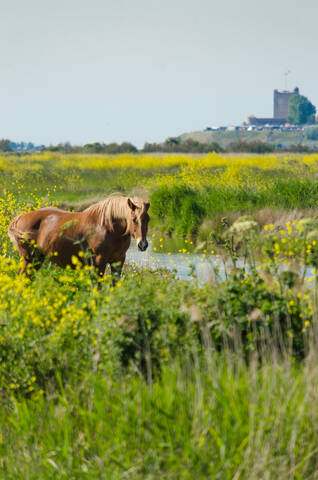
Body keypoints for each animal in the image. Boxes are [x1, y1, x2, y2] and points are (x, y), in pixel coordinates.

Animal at [7, 195, 150, 284]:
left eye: (148, 219)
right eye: (134, 219)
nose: (142, 245)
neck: (107, 227)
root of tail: (21, 217)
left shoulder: (118, 261)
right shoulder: (99, 261)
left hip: (37, 259)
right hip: (28, 258)